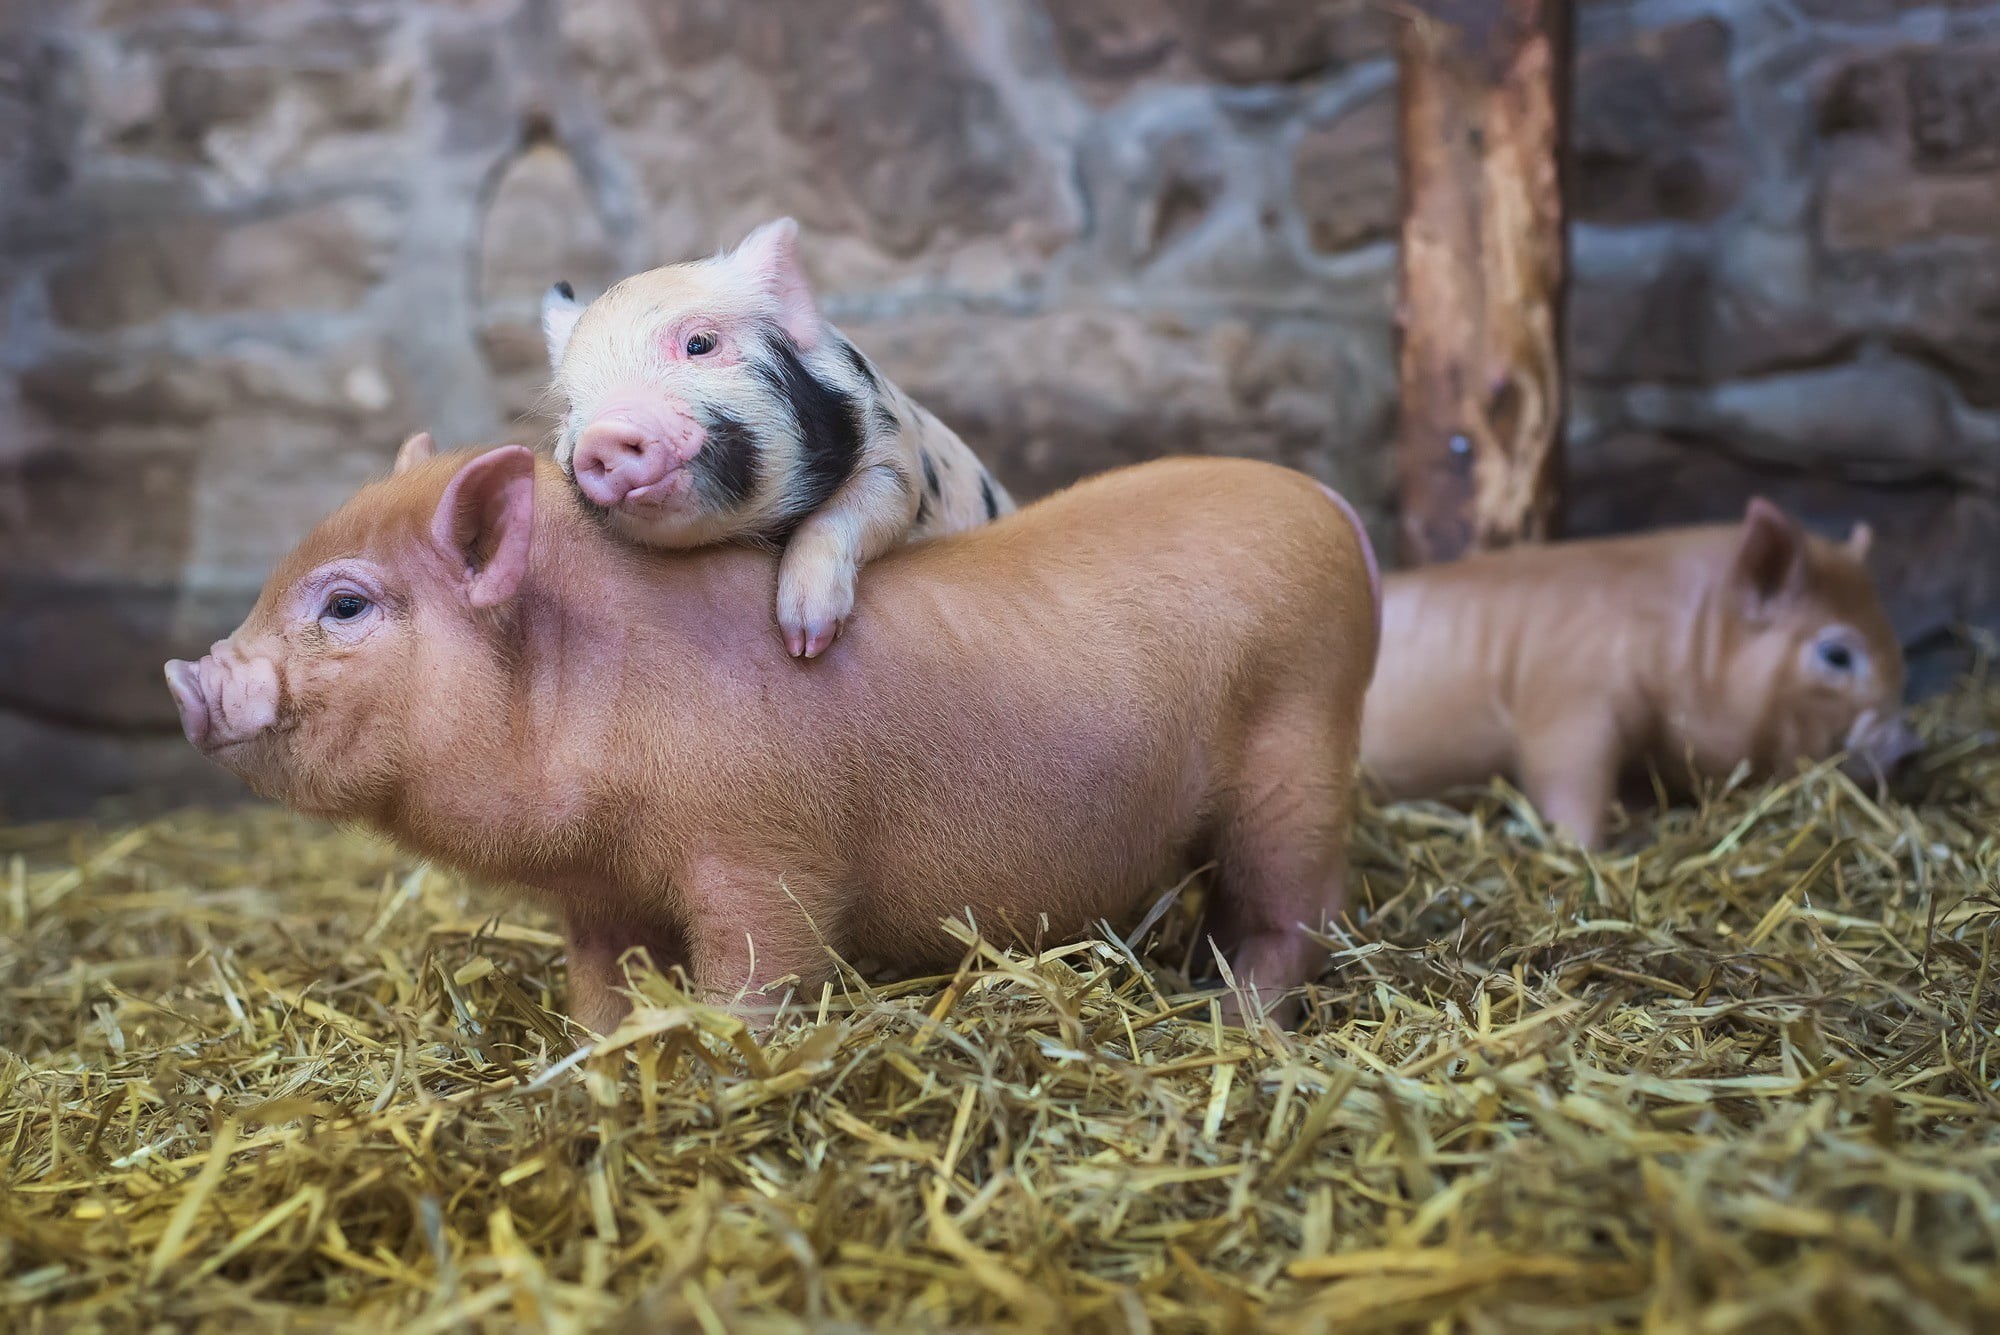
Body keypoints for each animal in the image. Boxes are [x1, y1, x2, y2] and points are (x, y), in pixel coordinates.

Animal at [164, 441, 1380, 1033]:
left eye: (345, 604)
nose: (189, 675)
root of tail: (1331, 508)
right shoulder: (598, 893)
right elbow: (601, 987)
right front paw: (603, 1055)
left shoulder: (764, 854)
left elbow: (761, 972)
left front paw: (720, 1054)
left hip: (1301, 750)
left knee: (1297, 913)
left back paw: (1233, 1024)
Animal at [540, 217, 1014, 660]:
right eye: (569, 406)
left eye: (700, 344)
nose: (604, 434)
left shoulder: (895, 457)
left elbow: (860, 508)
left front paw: (805, 644)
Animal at [1360, 498, 1919, 850]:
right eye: (1837, 654)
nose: (1912, 747)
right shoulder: (1568, 702)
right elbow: (1567, 784)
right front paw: (1596, 850)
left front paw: (1640, 830)